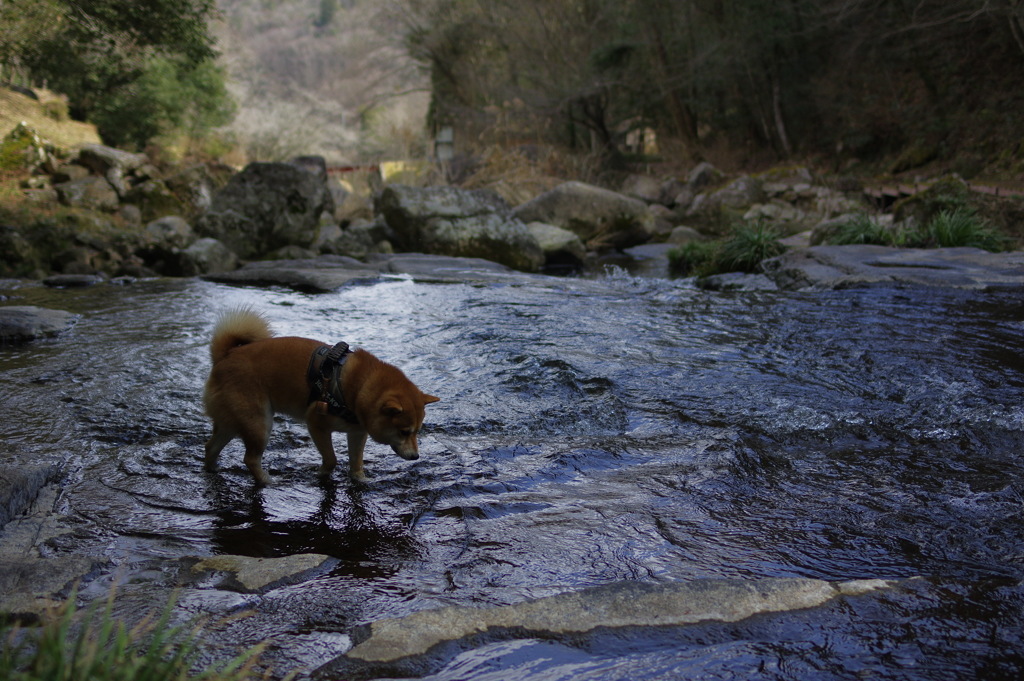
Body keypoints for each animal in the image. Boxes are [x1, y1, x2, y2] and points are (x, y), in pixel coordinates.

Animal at [201, 307, 438, 483]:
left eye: (418, 431)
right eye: (404, 432)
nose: (416, 456)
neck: (359, 386)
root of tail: (225, 357)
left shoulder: (357, 433)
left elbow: (356, 461)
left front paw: (360, 479)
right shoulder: (316, 424)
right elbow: (331, 459)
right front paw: (322, 473)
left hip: (233, 423)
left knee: (211, 447)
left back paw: (213, 469)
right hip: (259, 424)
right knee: (250, 458)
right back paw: (266, 481)